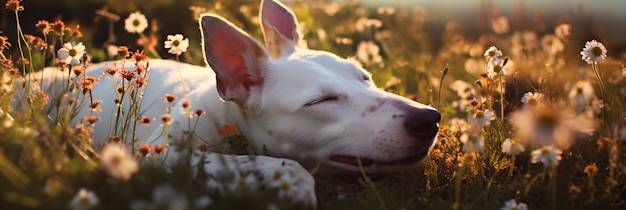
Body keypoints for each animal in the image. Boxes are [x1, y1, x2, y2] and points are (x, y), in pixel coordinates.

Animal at [23, 0, 438, 207]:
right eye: (323, 100)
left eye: (364, 77)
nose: (429, 119)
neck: (221, 112)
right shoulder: (155, 154)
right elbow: (268, 162)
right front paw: (292, 183)